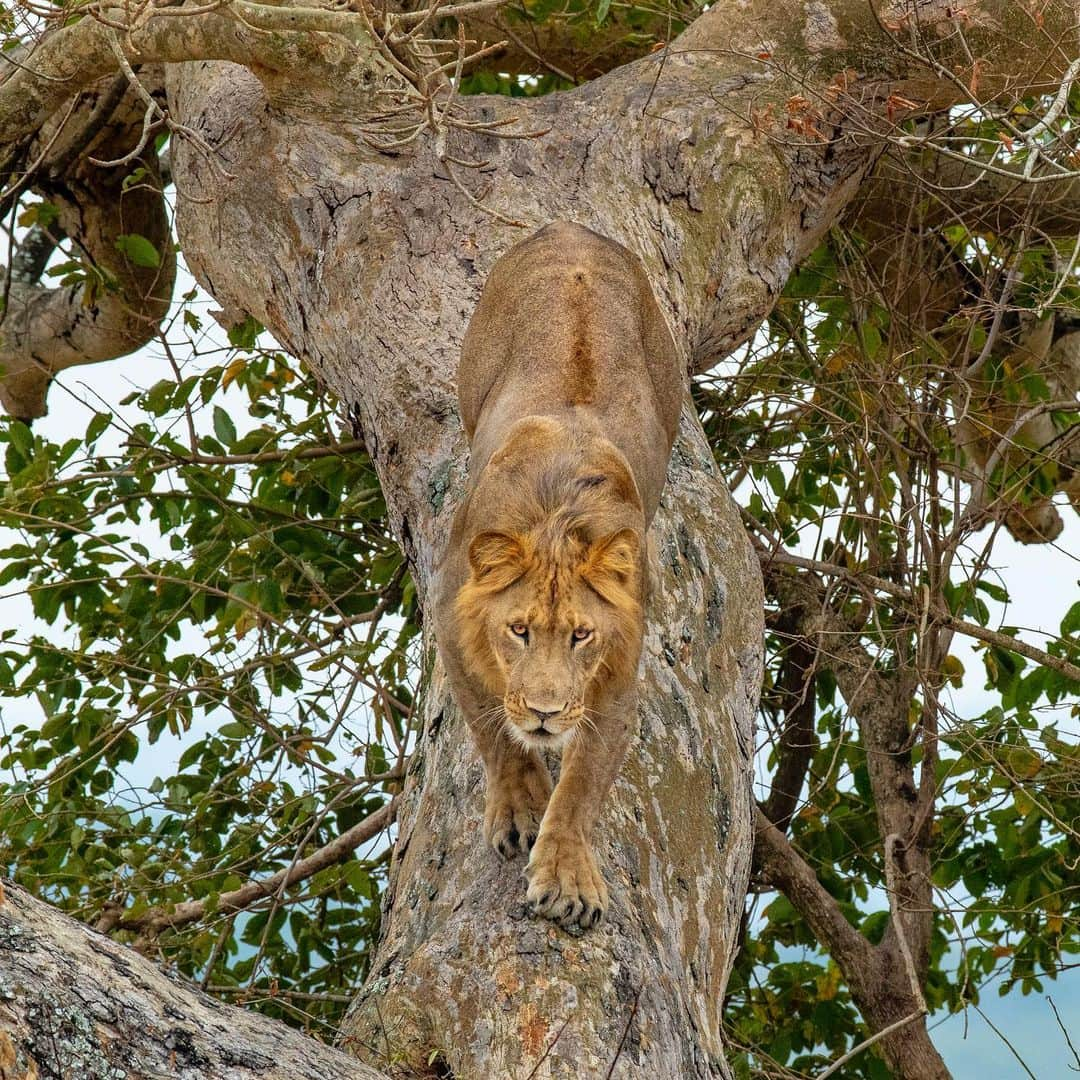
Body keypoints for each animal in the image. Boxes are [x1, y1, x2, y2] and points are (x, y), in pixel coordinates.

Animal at [432, 219, 678, 928]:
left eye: (580, 635)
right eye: (517, 630)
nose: (544, 713)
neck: (555, 524)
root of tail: (571, 230)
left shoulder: (618, 673)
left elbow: (585, 781)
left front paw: (567, 876)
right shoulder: (449, 621)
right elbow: (493, 729)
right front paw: (520, 809)